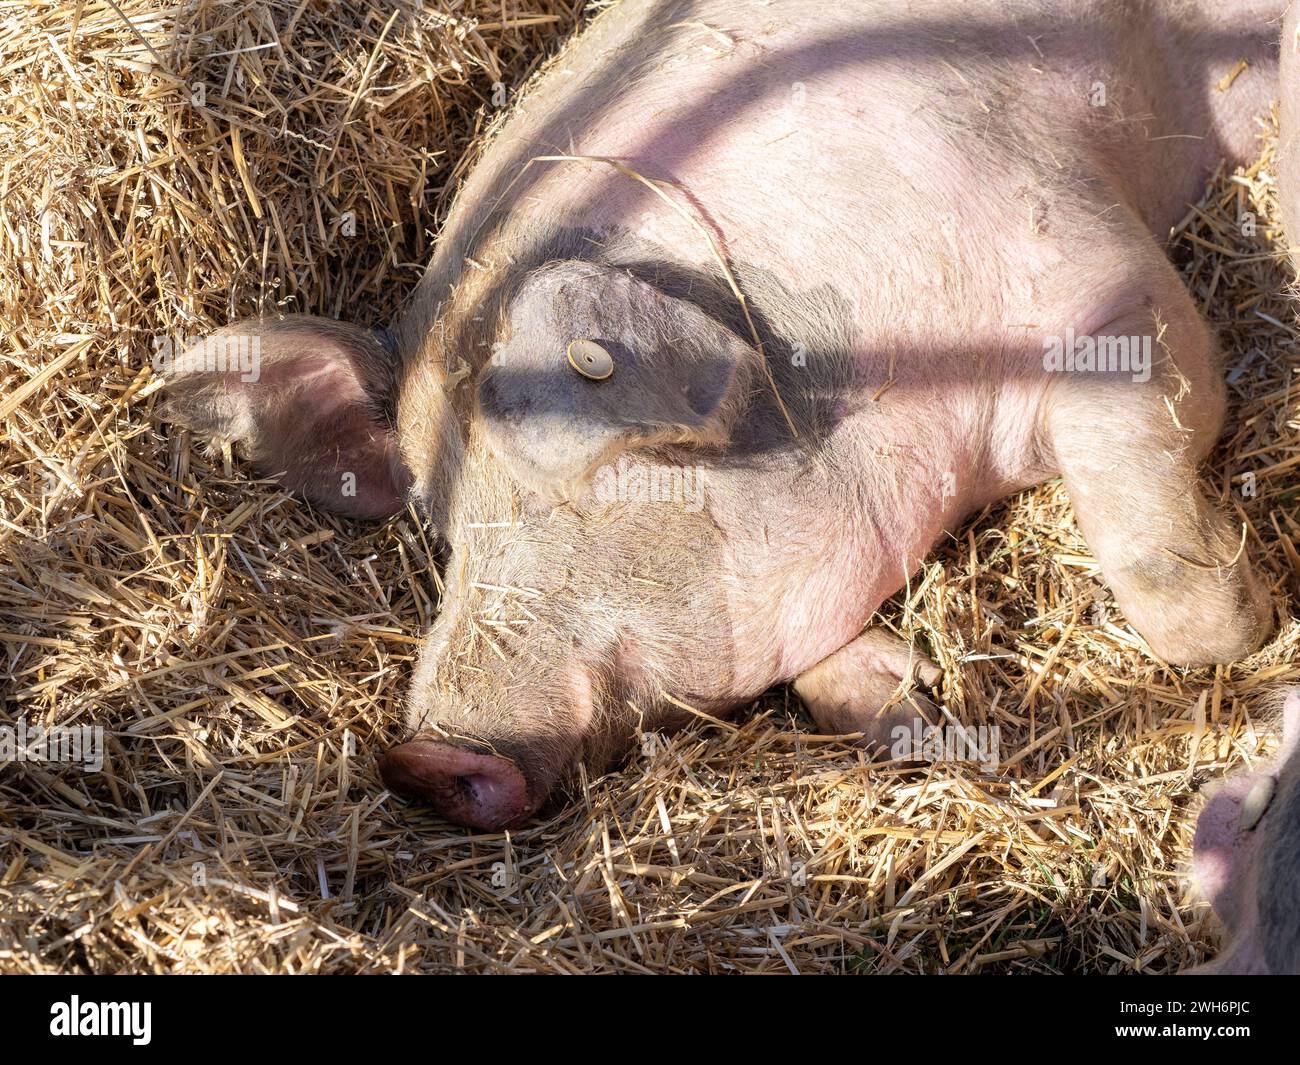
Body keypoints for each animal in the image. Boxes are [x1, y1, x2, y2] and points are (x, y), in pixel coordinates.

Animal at [162, 0, 1279, 827]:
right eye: (449, 526)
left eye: (580, 472)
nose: (423, 759)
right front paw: (909, 706)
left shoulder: (1106, 285)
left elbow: (1163, 563)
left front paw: (1258, 619)